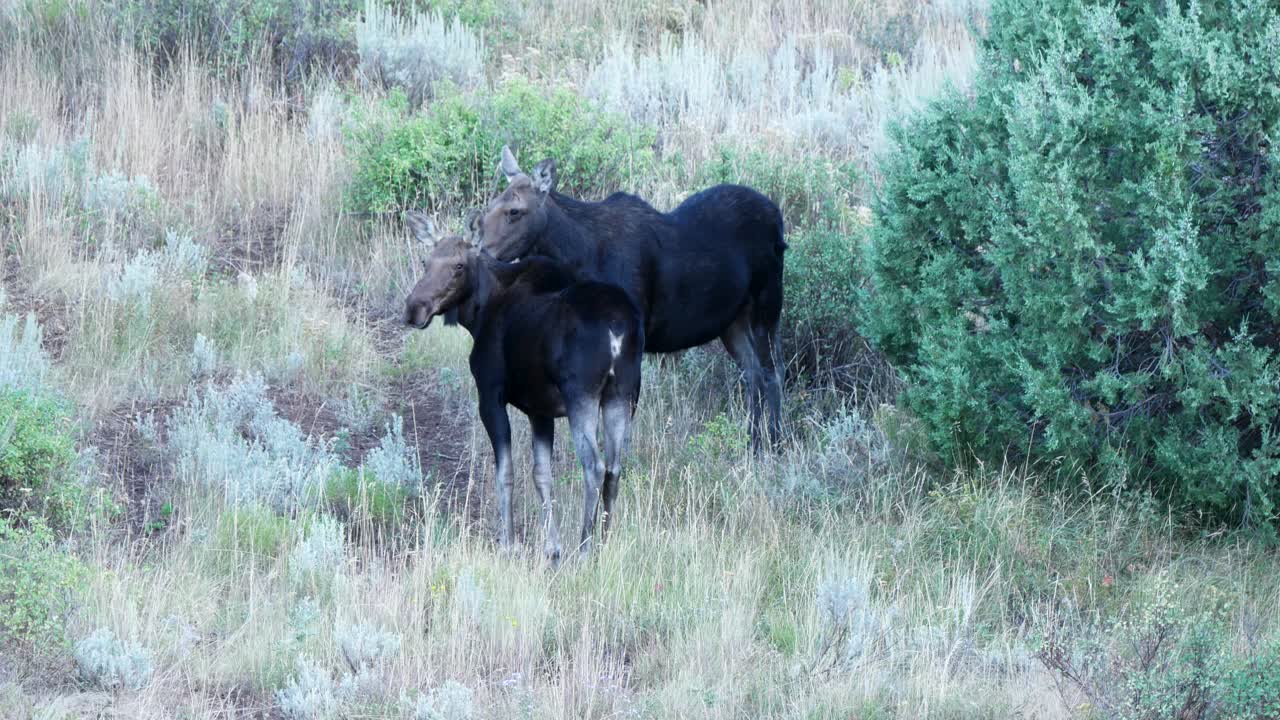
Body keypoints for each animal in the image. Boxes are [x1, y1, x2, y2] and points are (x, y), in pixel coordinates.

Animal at [403, 210, 643, 561]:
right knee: (614, 468)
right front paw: (552, 548)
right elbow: (541, 474)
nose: (414, 308)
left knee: (594, 466)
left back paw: (585, 549)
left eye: (458, 266)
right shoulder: (539, 410)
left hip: (582, 396)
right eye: (425, 261)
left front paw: (508, 543)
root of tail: (617, 327)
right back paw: (605, 544)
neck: (479, 312)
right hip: (622, 394)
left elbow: (506, 473)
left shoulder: (490, 395)